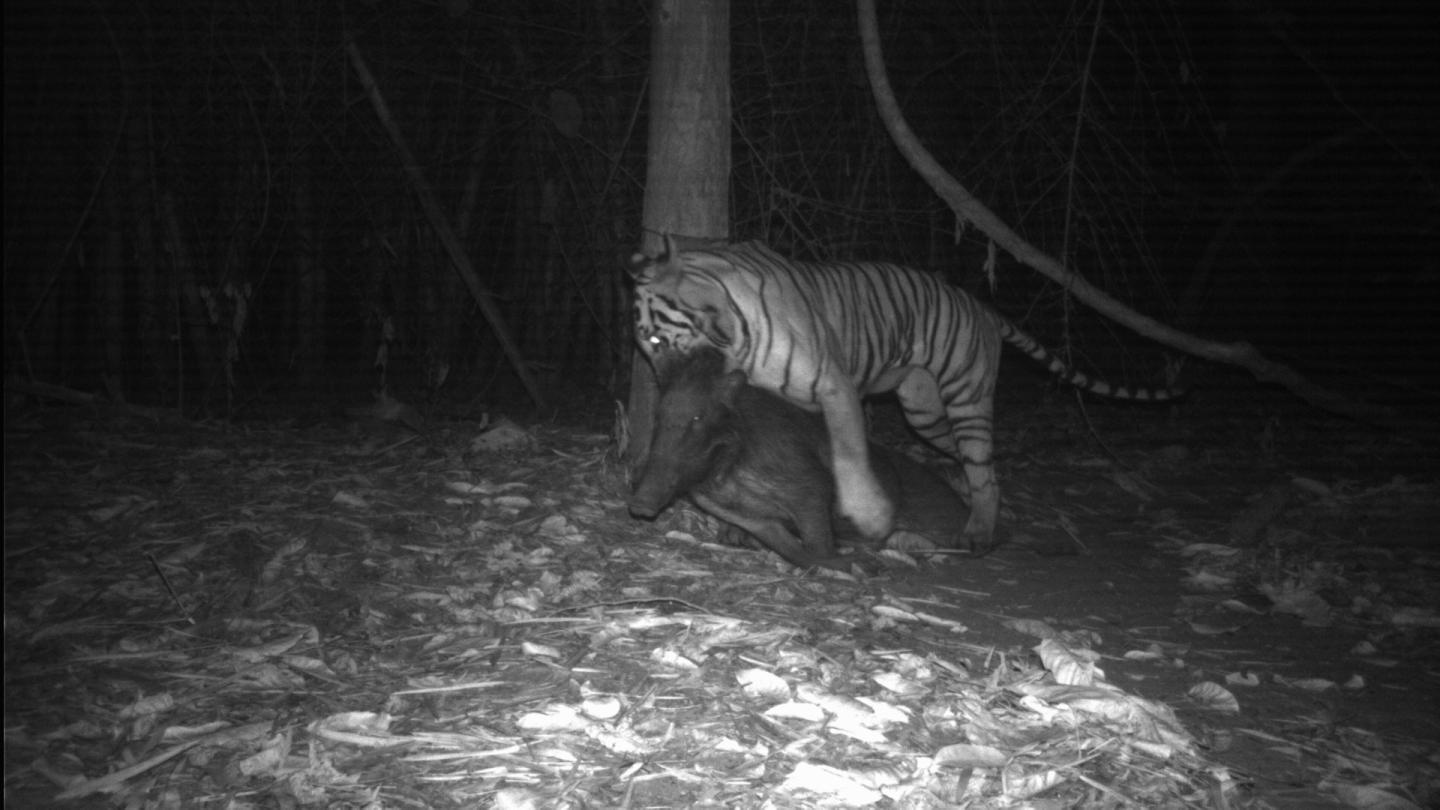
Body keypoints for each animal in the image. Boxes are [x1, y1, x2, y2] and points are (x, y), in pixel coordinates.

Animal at [629, 235, 1177, 554]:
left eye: (655, 340)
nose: (659, 382)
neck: (736, 333)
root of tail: (982, 306)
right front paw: (739, 530)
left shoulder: (836, 387)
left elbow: (850, 456)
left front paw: (867, 517)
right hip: (925, 412)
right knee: (974, 462)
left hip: (965, 397)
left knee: (983, 468)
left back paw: (978, 531)